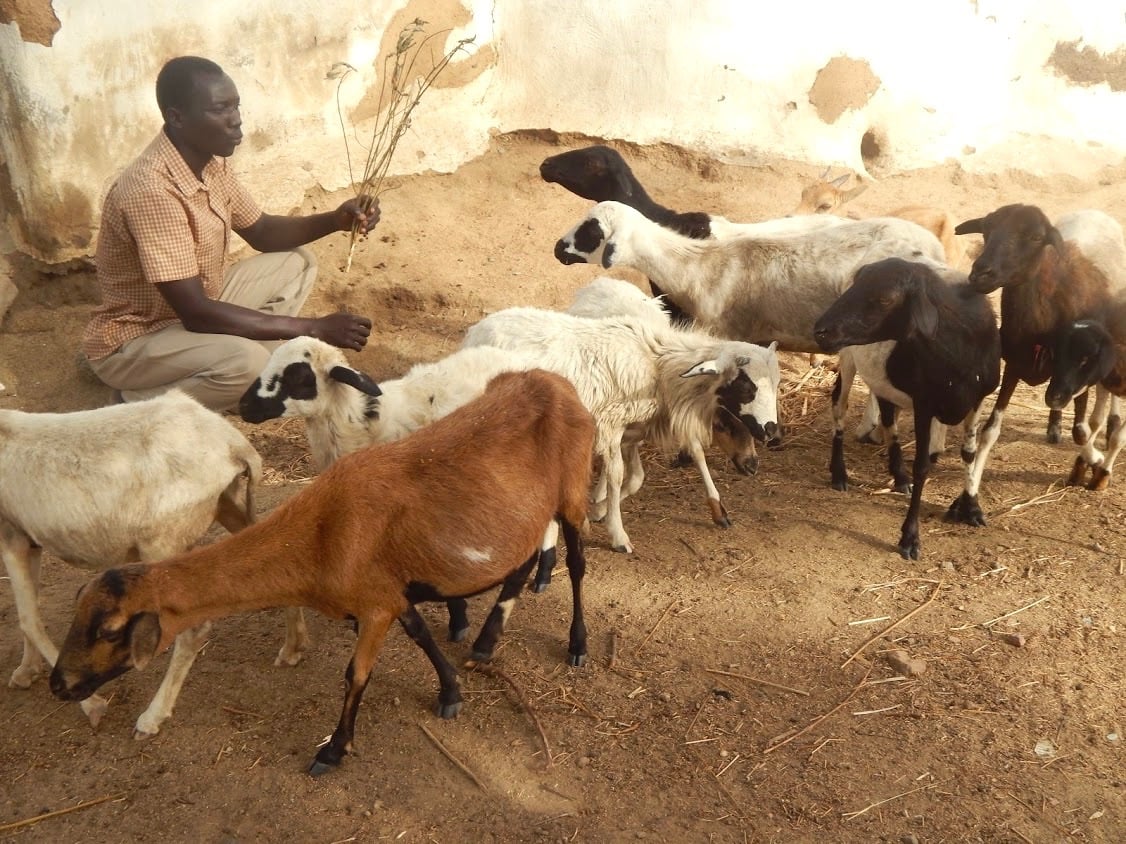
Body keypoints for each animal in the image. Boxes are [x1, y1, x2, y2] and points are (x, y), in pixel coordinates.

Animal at [0, 391, 308, 738]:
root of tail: (234, 444)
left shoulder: (10, 535)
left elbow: (28, 620)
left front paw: (92, 704)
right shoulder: (27, 538)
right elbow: (31, 610)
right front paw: (26, 671)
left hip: (162, 541)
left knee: (193, 629)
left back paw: (152, 716)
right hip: (228, 504)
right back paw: (293, 647)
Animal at [50, 371, 599, 778]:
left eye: (109, 630)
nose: (58, 684)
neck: (319, 534)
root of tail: (554, 382)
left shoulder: (375, 607)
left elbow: (355, 675)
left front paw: (333, 750)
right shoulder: (388, 593)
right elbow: (421, 634)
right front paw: (450, 692)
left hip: (572, 490)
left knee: (575, 563)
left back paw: (577, 644)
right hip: (522, 515)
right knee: (521, 562)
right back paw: (486, 640)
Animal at [461, 306, 779, 555]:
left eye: (775, 385)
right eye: (746, 386)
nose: (772, 433)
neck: (658, 365)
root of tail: (477, 329)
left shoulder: (628, 428)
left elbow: (635, 477)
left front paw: (597, 511)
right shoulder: (610, 423)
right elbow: (616, 475)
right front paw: (617, 534)